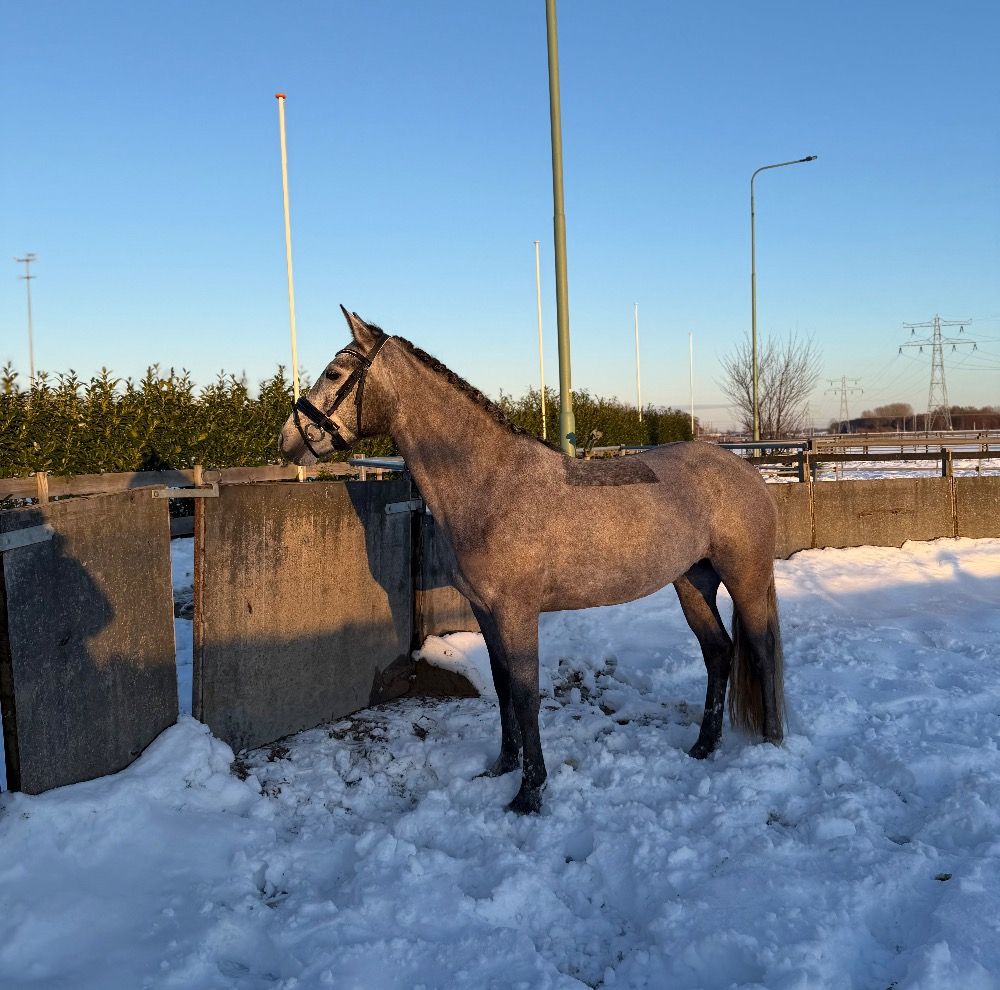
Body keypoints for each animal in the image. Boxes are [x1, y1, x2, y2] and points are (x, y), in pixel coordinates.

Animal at [279, 308, 785, 814]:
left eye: (334, 373)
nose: (288, 440)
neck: (492, 485)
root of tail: (746, 471)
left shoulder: (517, 612)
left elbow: (525, 695)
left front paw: (529, 791)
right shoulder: (485, 611)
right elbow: (502, 685)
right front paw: (503, 764)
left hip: (744, 578)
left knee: (760, 650)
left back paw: (772, 743)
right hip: (692, 581)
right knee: (719, 652)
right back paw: (704, 745)